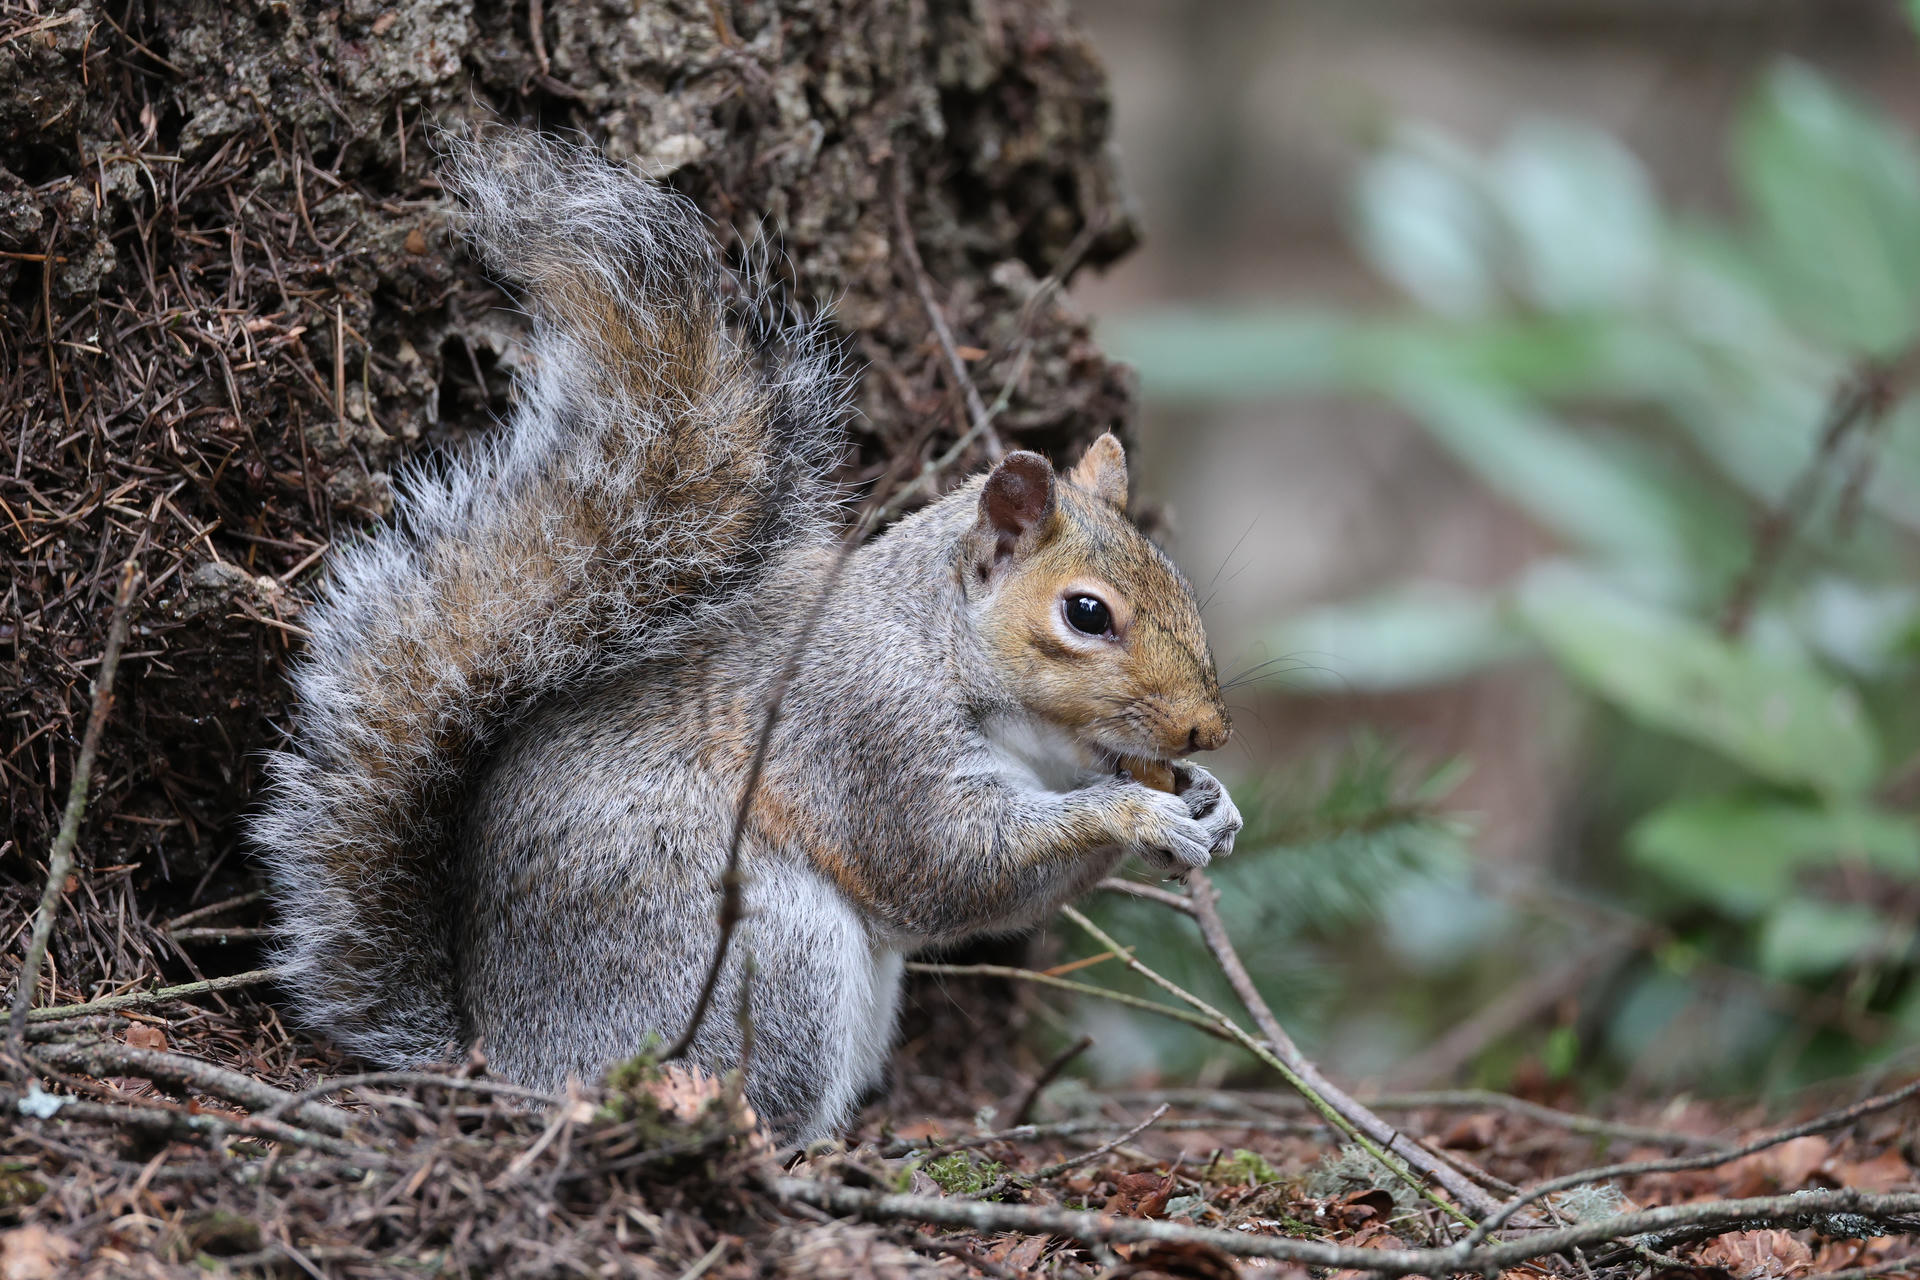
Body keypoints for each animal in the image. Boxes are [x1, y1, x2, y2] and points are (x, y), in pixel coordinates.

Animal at [254, 128, 1242, 1143]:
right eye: (1086, 614)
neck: (935, 640)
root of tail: (502, 1060)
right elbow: (951, 869)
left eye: (1174, 577)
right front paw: (1136, 811)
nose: (1207, 730)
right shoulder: (868, 737)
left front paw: (1209, 801)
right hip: (765, 958)